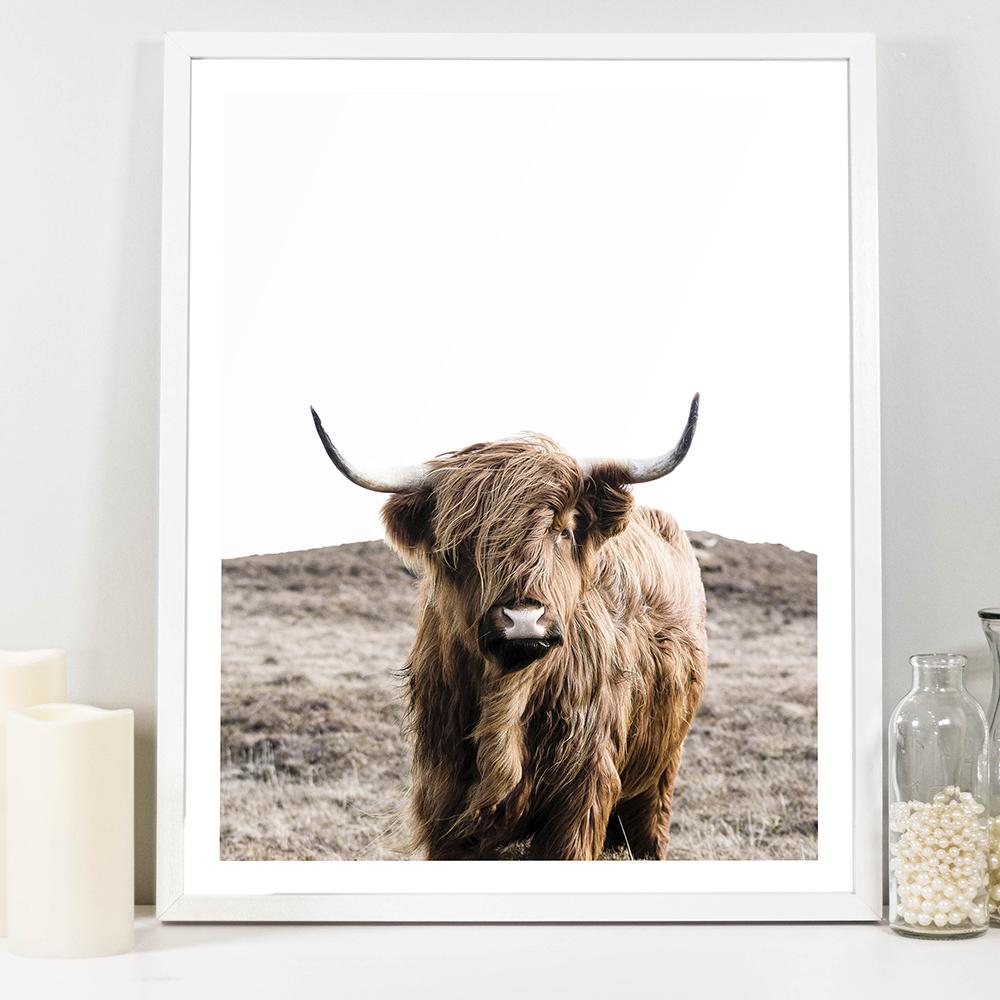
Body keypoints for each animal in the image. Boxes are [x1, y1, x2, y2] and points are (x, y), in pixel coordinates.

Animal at [310, 395, 707, 861]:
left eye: (564, 530)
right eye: (463, 541)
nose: (523, 620)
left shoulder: (581, 794)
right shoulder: (444, 796)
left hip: (662, 768)